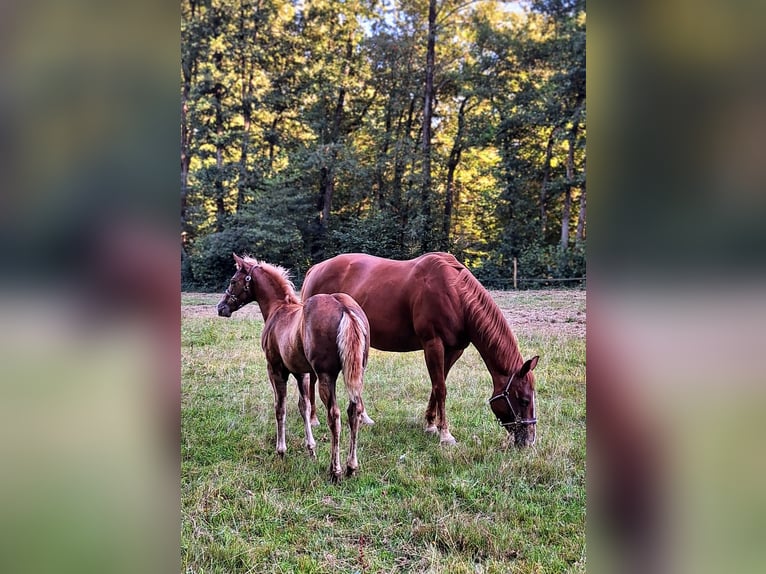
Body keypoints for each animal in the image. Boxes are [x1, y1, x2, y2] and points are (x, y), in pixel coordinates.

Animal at [217, 254, 370, 482]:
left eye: (233, 281)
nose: (221, 308)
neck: (278, 310)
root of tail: (345, 308)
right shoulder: (301, 373)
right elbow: (303, 406)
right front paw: (311, 449)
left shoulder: (275, 369)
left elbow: (280, 407)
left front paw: (281, 451)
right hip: (357, 373)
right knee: (355, 411)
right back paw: (351, 466)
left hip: (326, 376)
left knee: (335, 416)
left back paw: (335, 470)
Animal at [301, 252, 540, 447]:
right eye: (524, 400)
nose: (529, 440)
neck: (455, 294)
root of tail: (315, 269)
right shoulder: (433, 344)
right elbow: (441, 388)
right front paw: (445, 434)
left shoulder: (454, 350)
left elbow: (437, 385)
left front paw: (430, 424)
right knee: (312, 378)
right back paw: (313, 418)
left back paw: (363, 417)